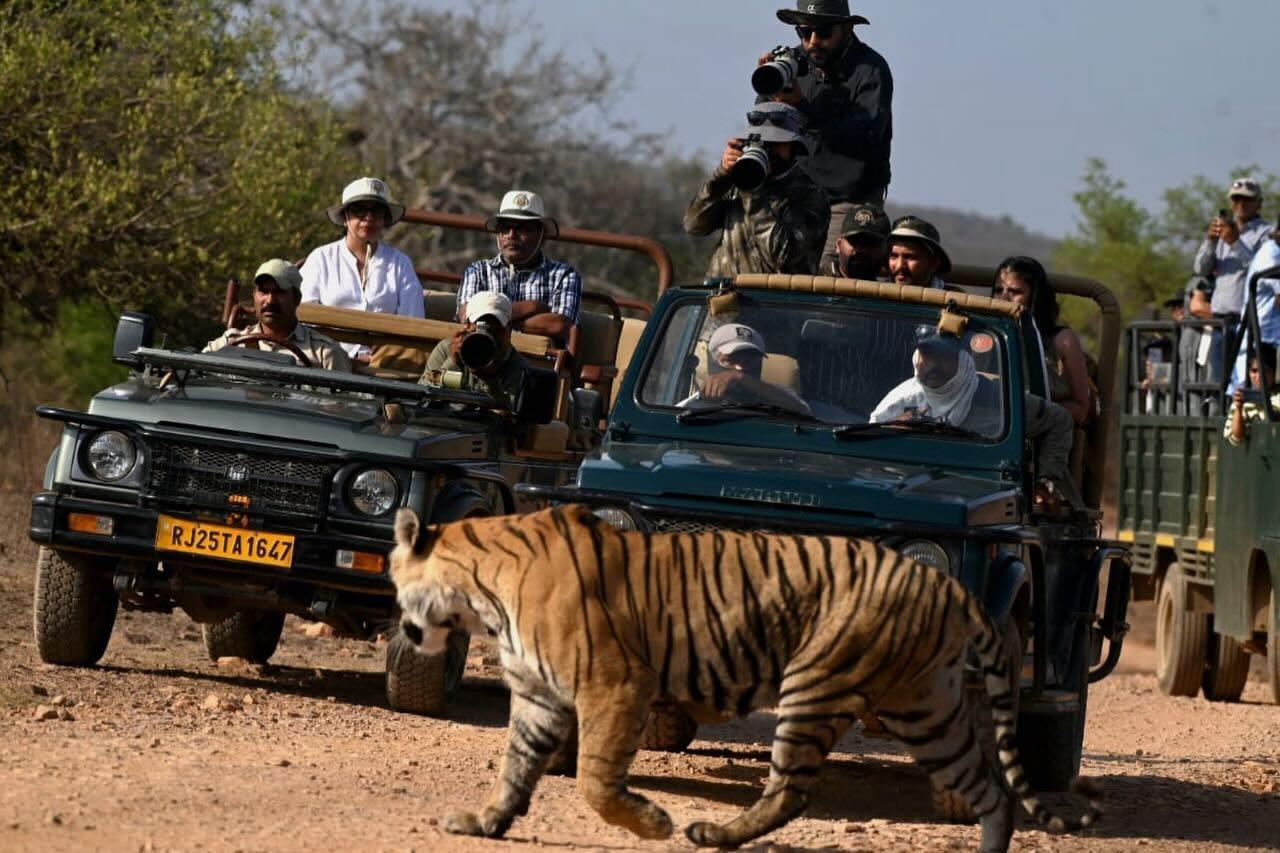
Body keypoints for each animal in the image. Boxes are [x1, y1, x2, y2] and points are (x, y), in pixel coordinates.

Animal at [390, 504, 1101, 852]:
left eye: (397, 580)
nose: (403, 628)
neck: (479, 589)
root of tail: (945, 584)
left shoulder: (615, 684)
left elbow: (594, 779)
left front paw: (653, 824)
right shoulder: (540, 697)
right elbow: (515, 767)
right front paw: (485, 822)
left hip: (816, 684)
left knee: (791, 790)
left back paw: (713, 835)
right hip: (927, 708)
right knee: (989, 789)